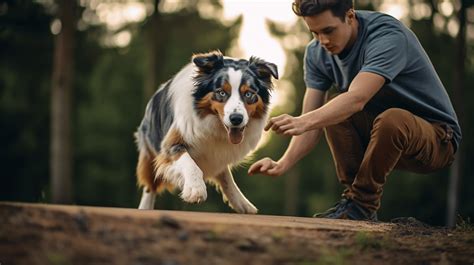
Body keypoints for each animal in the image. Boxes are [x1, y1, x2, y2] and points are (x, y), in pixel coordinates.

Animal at [135, 50, 278, 213]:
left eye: (248, 94)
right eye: (221, 93)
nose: (236, 119)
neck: (214, 126)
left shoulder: (217, 154)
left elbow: (226, 177)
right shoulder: (170, 145)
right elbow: (189, 163)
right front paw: (195, 189)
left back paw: (242, 203)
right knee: (150, 186)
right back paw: (145, 207)